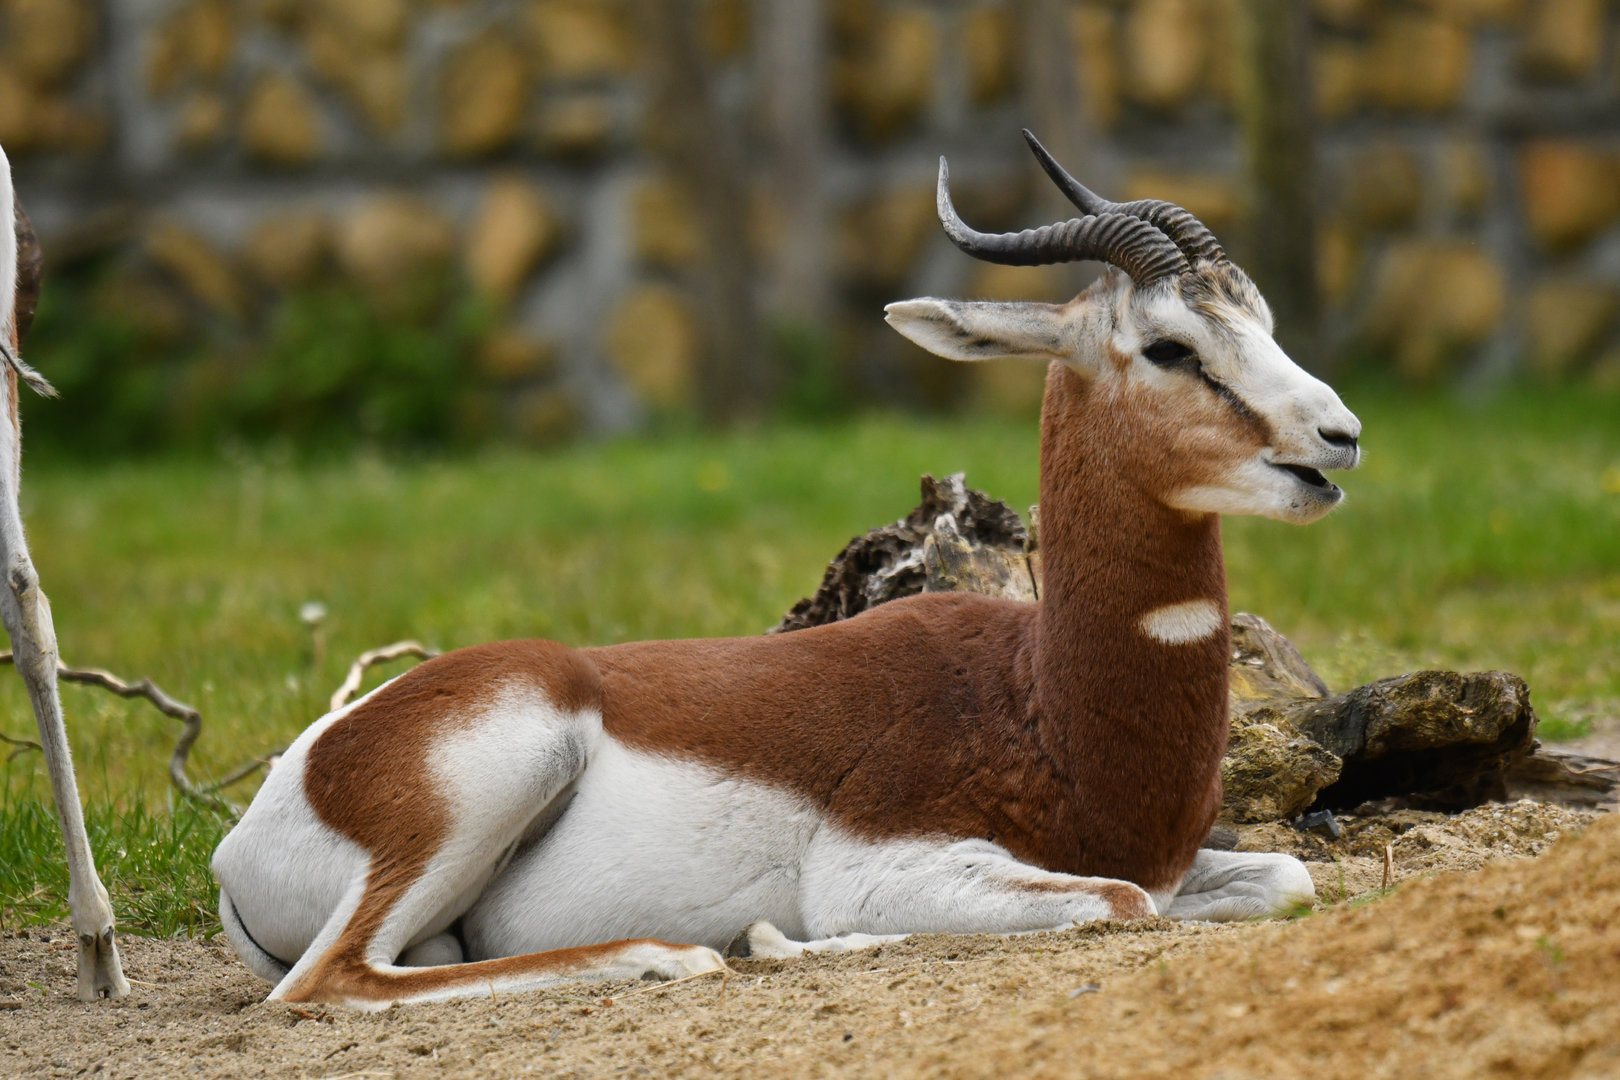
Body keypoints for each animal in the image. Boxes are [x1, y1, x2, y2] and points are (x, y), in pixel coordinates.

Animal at [213, 131, 1360, 1009]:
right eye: (1170, 347)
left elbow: (1287, 874)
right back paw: (685, 954)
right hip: (493, 779)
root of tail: (255, 821)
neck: (1043, 703)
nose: (1339, 436)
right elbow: (1126, 902)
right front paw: (784, 939)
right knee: (327, 982)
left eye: (1260, 323)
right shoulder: (895, 866)